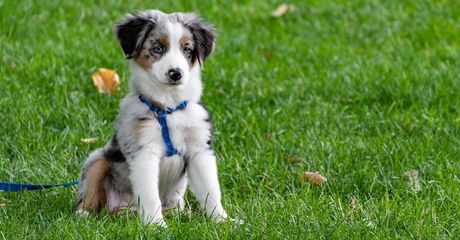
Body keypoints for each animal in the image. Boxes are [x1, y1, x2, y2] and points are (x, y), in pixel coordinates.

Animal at [76, 9, 229, 227]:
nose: (175, 73)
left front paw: (223, 221)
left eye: (187, 50)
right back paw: (84, 214)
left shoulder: (199, 150)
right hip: (98, 159)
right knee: (90, 190)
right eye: (158, 48)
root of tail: (122, 209)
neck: (169, 107)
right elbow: (149, 194)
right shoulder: (144, 152)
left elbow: (211, 190)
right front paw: (156, 226)